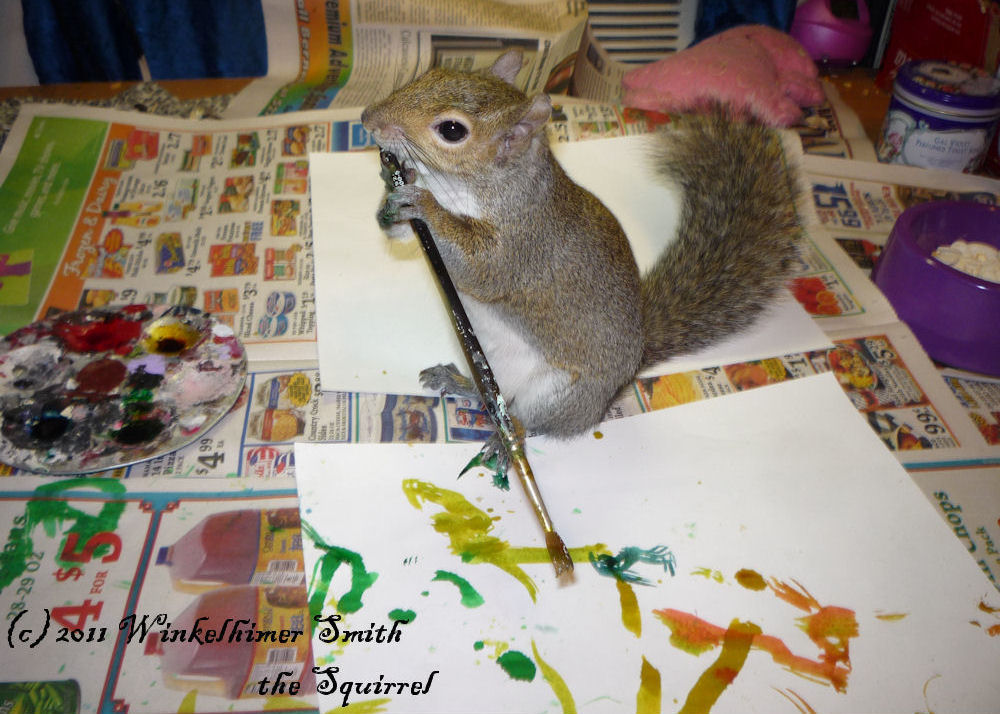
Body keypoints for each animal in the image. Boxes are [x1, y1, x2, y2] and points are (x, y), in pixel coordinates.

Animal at [361, 49, 803, 448]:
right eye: (433, 73)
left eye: (452, 130)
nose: (367, 118)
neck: (468, 185)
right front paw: (393, 193)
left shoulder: (526, 242)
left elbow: (482, 267)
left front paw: (427, 207)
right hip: (490, 363)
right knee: (492, 395)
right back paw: (461, 383)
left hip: (560, 393)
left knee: (534, 419)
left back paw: (509, 441)